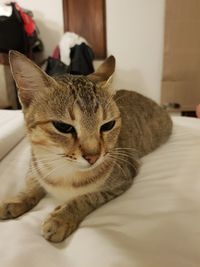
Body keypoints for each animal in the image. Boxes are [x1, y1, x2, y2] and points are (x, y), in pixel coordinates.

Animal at [0, 51, 172, 244]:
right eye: (63, 127)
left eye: (108, 125)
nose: (93, 157)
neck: (63, 173)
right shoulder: (35, 165)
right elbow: (31, 184)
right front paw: (17, 200)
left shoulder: (123, 178)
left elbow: (87, 197)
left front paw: (61, 218)